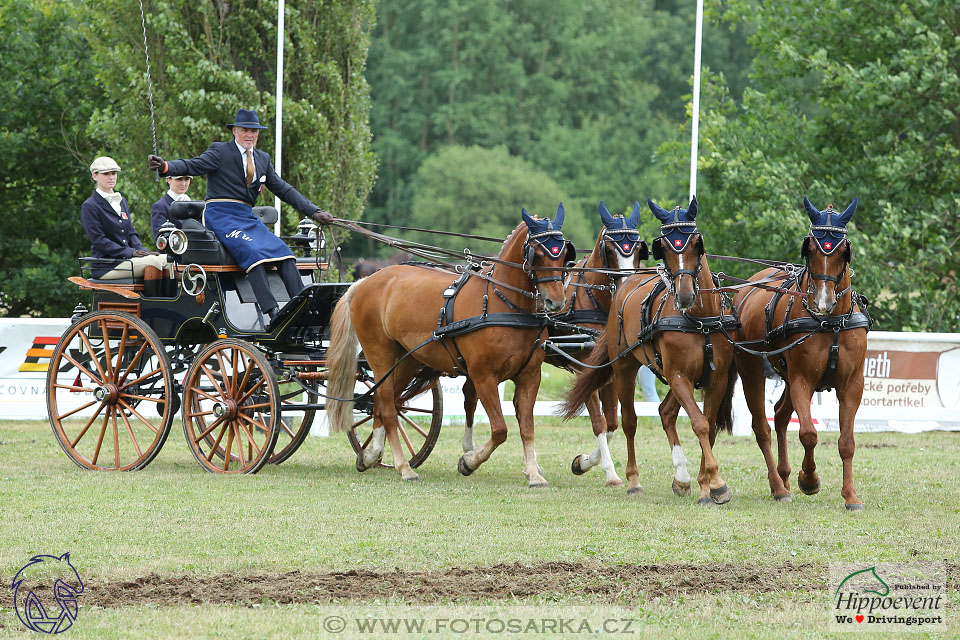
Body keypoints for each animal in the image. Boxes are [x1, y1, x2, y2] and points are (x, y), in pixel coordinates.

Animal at [328, 208, 568, 482]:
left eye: (563, 253)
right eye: (537, 254)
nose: (556, 301)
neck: (503, 303)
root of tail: (364, 282)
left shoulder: (530, 376)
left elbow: (527, 427)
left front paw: (533, 474)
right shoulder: (483, 376)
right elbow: (500, 429)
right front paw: (469, 461)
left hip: (408, 360)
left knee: (382, 402)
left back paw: (371, 455)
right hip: (380, 355)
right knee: (387, 408)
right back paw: (403, 467)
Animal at [564, 198, 736, 502]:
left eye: (696, 243)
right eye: (663, 247)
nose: (685, 295)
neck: (700, 320)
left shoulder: (717, 379)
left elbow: (709, 426)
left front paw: (705, 484)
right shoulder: (679, 376)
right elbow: (700, 424)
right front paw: (716, 482)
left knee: (665, 412)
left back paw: (681, 477)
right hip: (624, 368)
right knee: (629, 422)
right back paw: (633, 480)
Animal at [732, 198, 872, 512]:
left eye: (843, 251)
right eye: (810, 249)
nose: (822, 301)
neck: (831, 322)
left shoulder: (852, 385)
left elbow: (846, 442)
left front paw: (851, 496)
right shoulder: (802, 380)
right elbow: (808, 433)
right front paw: (809, 479)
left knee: (781, 415)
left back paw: (784, 478)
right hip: (752, 370)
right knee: (763, 427)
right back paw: (778, 486)